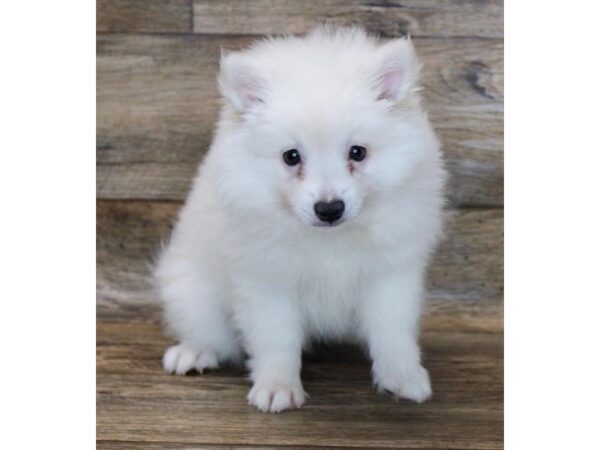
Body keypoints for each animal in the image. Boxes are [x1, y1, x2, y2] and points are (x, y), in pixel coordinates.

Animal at [155, 26, 446, 414]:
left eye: (358, 152)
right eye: (291, 157)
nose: (329, 208)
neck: (329, 239)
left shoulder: (390, 274)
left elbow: (392, 331)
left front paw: (402, 377)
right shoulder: (266, 280)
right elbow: (276, 338)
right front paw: (277, 387)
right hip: (190, 288)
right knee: (209, 331)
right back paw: (194, 352)